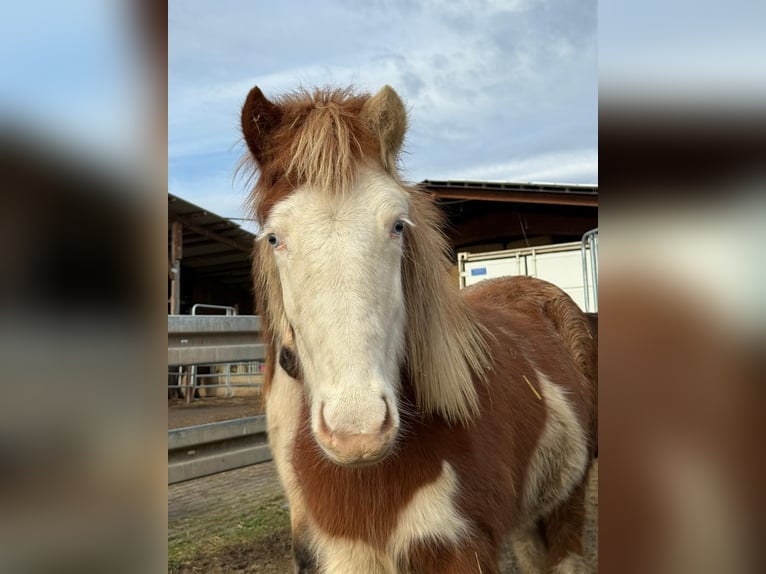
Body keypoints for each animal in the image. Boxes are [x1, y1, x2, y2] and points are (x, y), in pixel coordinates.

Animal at [240, 85, 597, 574]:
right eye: (275, 237)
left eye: (396, 225)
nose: (358, 430)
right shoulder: (345, 555)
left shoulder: (459, 549)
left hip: (569, 501)